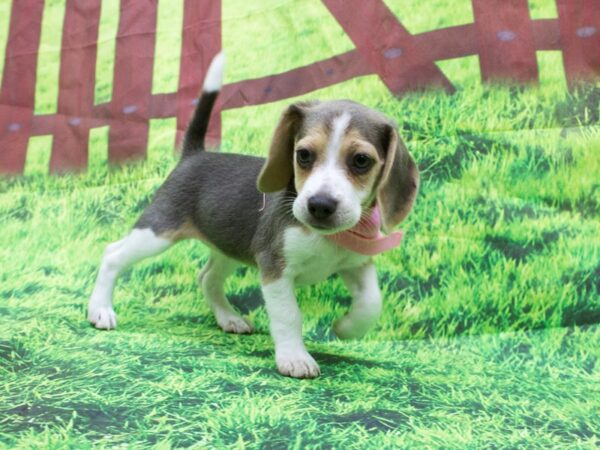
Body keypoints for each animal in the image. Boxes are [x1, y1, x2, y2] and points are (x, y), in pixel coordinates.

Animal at [86, 52, 420, 378]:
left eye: (361, 160)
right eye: (303, 155)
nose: (320, 205)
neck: (328, 238)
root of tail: (194, 154)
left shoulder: (356, 263)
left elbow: (372, 303)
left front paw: (347, 328)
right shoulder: (274, 267)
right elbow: (289, 315)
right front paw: (294, 358)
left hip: (229, 245)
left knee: (207, 278)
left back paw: (228, 318)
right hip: (158, 231)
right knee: (112, 254)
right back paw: (100, 309)